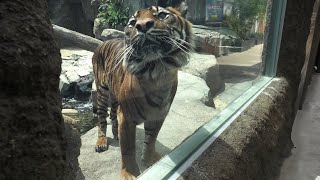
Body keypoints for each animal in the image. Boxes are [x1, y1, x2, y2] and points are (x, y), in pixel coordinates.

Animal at [91, 5, 194, 179]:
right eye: (133, 23)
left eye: (162, 15)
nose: (143, 25)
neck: (157, 74)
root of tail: (102, 43)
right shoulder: (126, 117)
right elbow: (127, 149)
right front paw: (129, 173)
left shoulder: (158, 115)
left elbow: (151, 140)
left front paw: (149, 160)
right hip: (102, 91)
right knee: (102, 118)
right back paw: (101, 142)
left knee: (112, 114)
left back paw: (116, 134)